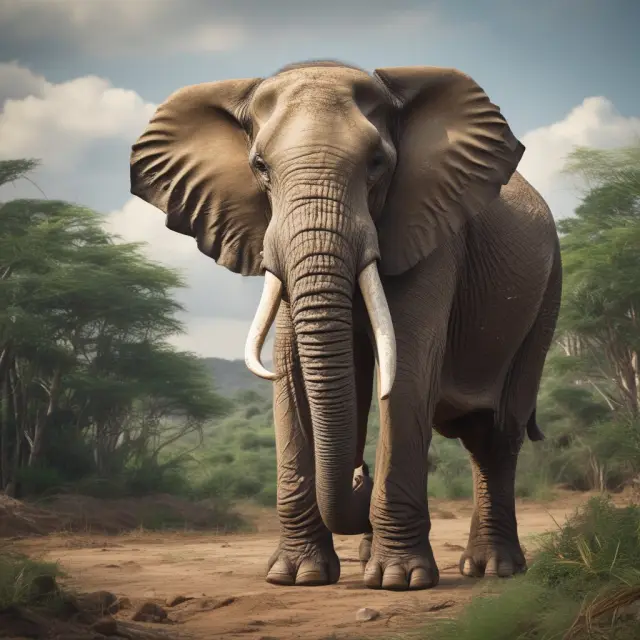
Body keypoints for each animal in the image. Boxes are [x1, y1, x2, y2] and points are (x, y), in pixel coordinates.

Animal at [129, 59, 562, 591]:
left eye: (377, 163)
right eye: (260, 166)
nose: (361, 477)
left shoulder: (431, 227)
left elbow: (409, 367)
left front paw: (399, 580)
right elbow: (293, 366)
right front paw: (298, 576)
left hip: (548, 293)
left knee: (495, 434)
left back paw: (493, 569)